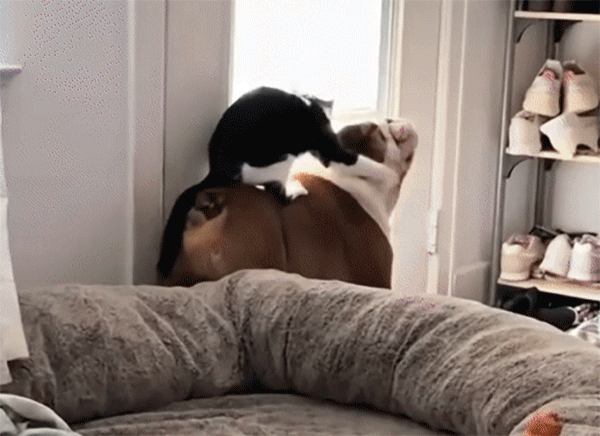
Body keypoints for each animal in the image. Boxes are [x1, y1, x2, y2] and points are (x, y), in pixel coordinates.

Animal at [157, 86, 387, 280]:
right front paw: (384, 171)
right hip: (280, 157)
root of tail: (215, 171)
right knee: (279, 192)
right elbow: (357, 160)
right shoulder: (329, 146)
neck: (312, 104)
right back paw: (297, 190)